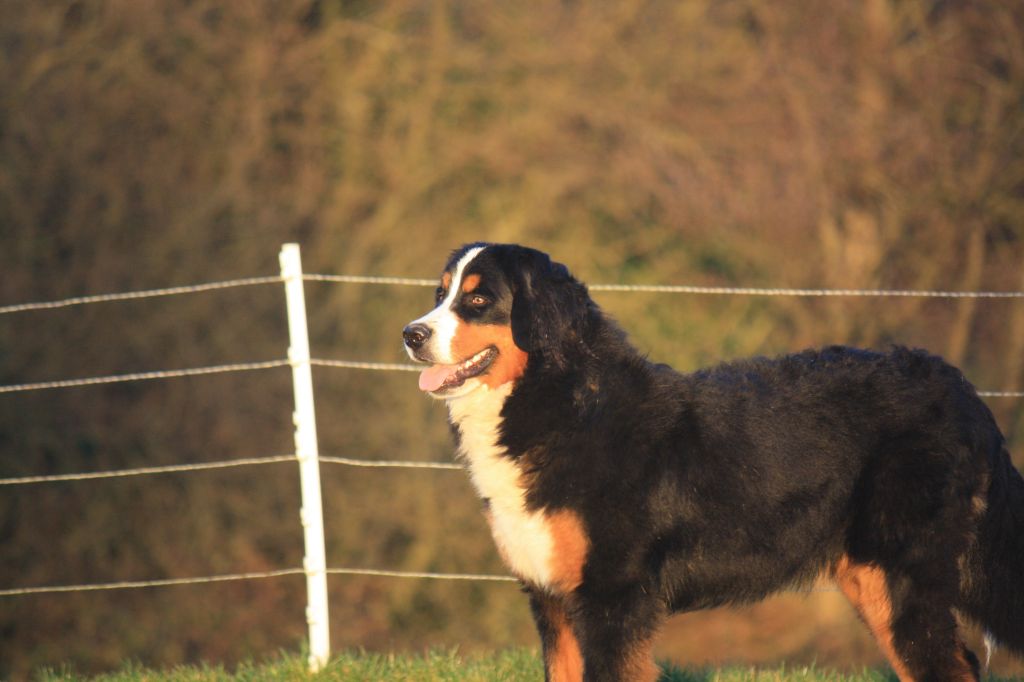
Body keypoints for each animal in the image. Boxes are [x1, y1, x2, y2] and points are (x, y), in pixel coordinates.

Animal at [401, 242, 1024, 679]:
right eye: (439, 294)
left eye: (478, 299)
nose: (410, 333)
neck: (564, 402)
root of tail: (961, 389)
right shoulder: (553, 598)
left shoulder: (611, 598)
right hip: (873, 579)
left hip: (902, 578)